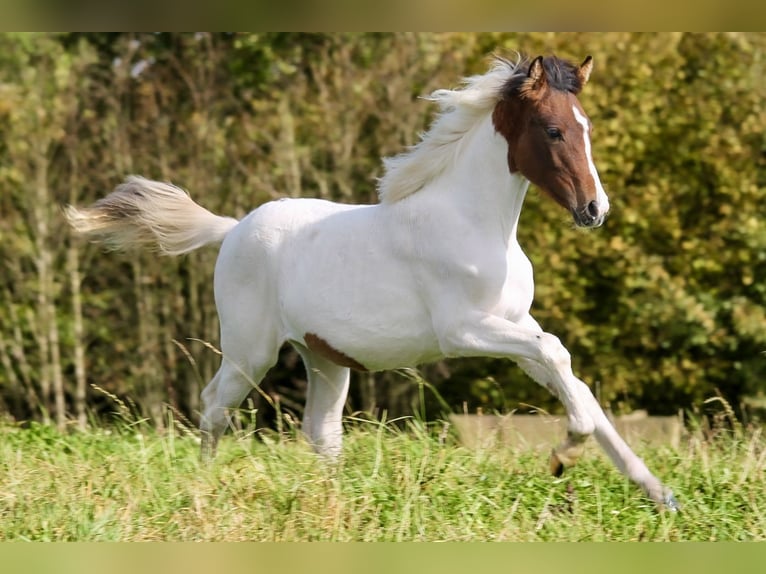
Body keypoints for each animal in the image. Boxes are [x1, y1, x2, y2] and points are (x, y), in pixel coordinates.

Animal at [64, 55, 680, 512]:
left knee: (320, 429)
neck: (477, 224)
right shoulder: (463, 331)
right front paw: (562, 454)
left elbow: (576, 382)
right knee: (215, 404)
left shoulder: (514, 326)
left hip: (323, 357)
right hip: (249, 349)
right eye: (553, 130)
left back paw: (337, 504)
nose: (595, 210)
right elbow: (558, 357)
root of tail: (232, 227)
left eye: (587, 127)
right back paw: (204, 489)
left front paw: (659, 494)